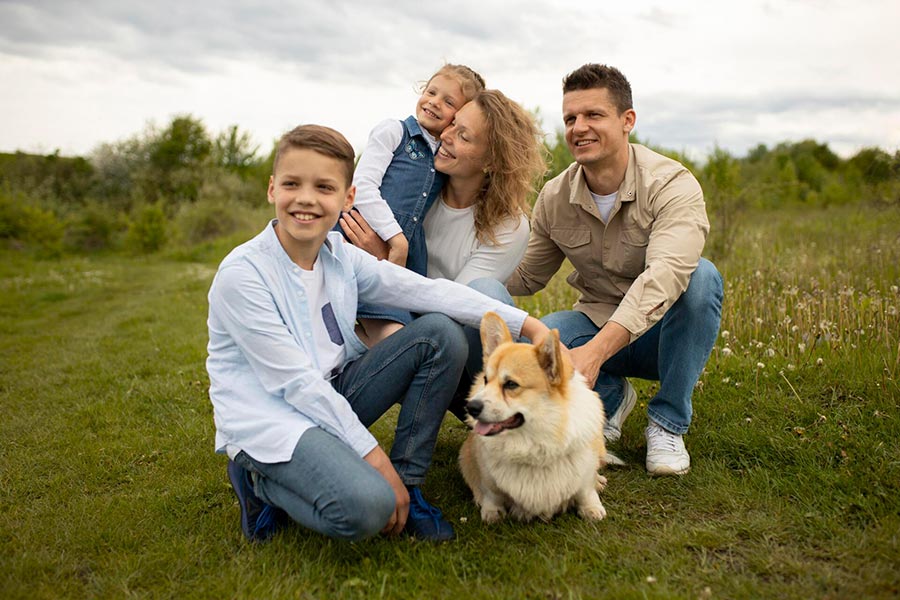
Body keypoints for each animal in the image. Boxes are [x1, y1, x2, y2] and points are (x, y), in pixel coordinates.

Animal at [460, 312, 608, 524]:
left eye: (511, 384)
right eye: (486, 381)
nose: (471, 407)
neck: (532, 443)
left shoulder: (585, 468)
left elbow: (585, 490)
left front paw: (591, 508)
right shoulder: (486, 474)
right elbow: (492, 493)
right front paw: (492, 512)